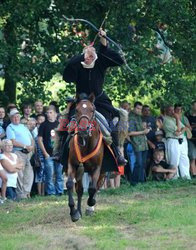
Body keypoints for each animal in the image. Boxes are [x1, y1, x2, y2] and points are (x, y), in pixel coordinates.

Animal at [66, 93, 105, 222]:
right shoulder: (72, 165)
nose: (83, 130)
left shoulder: (97, 168)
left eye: (92, 110)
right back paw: (78, 211)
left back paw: (90, 208)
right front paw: (74, 212)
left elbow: (92, 188)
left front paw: (91, 203)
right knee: (80, 190)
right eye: (76, 110)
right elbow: (70, 185)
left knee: (97, 186)